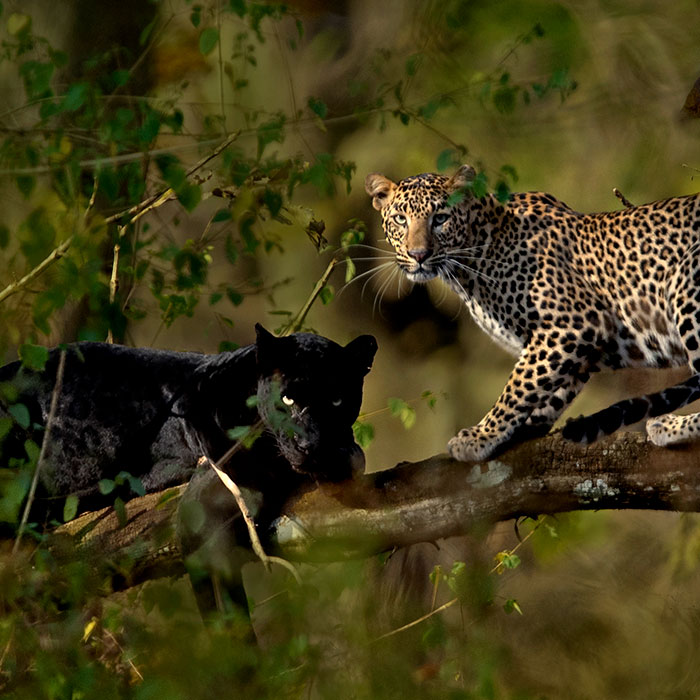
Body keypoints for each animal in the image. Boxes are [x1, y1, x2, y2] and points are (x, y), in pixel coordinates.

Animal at [365, 163, 700, 462]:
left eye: (440, 218)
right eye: (400, 219)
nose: (418, 255)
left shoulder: (575, 323)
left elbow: (519, 386)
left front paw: (481, 436)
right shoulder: (570, 345)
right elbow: (547, 386)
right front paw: (521, 428)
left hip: (685, 287)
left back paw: (671, 425)